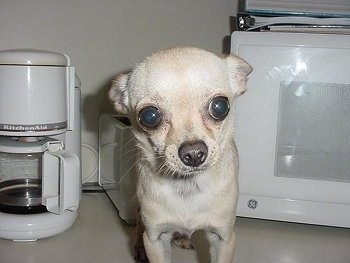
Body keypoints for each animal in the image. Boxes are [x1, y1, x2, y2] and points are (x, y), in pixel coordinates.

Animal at [108, 48, 252, 263]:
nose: (193, 153)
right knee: (139, 219)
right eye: (149, 116)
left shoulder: (223, 237)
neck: (188, 186)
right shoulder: (155, 239)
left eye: (220, 106)